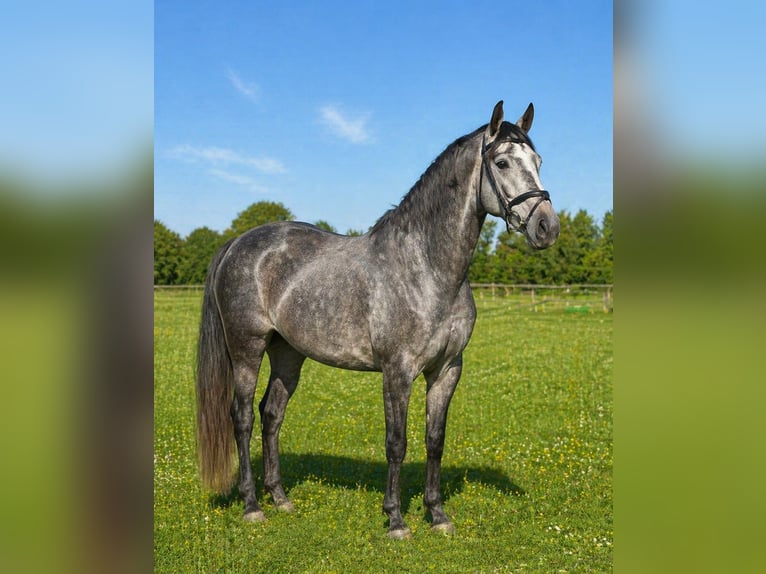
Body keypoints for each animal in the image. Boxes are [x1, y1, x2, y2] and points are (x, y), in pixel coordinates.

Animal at [195, 100, 560, 539]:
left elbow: (434, 440)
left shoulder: (447, 370)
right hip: (246, 350)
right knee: (244, 417)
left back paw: (280, 498)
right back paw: (252, 505)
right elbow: (396, 442)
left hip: (288, 354)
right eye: (502, 162)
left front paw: (437, 515)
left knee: (272, 414)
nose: (547, 227)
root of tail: (237, 243)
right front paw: (396, 520)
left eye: (538, 161)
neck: (427, 266)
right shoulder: (398, 371)